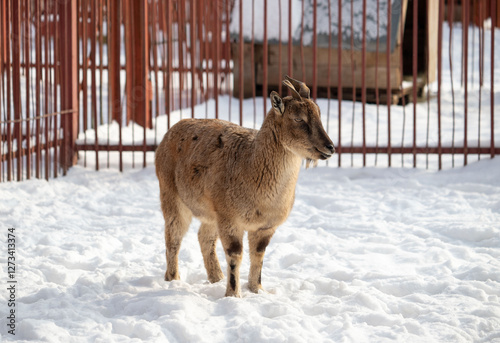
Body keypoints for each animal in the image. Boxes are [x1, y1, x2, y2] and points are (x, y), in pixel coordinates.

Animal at [155, 76, 336, 296]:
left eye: (318, 113)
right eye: (298, 119)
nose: (330, 147)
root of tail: (167, 135)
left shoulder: (264, 226)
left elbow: (258, 255)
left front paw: (257, 289)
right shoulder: (230, 220)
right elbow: (235, 255)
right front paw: (234, 294)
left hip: (211, 212)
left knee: (204, 237)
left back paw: (216, 277)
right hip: (172, 196)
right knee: (173, 237)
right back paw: (173, 279)